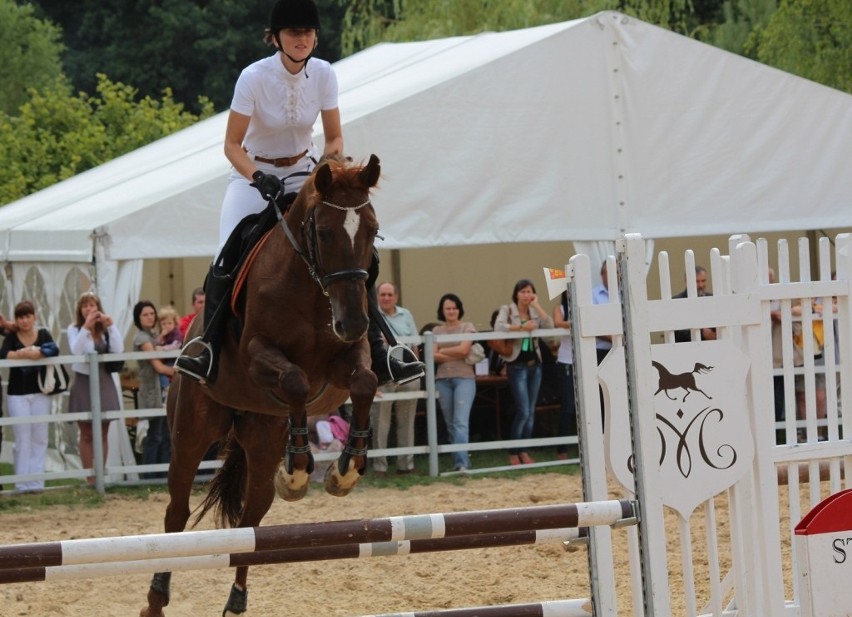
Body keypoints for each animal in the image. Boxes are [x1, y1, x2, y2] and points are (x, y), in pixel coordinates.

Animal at [141, 154, 382, 616]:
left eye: (372, 230)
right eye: (324, 232)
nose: (353, 321)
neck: (312, 288)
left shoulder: (350, 356)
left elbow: (365, 381)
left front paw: (344, 471)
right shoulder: (257, 354)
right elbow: (295, 380)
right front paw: (300, 469)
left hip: (262, 437)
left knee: (249, 523)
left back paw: (237, 598)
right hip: (190, 433)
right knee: (176, 513)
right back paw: (157, 596)